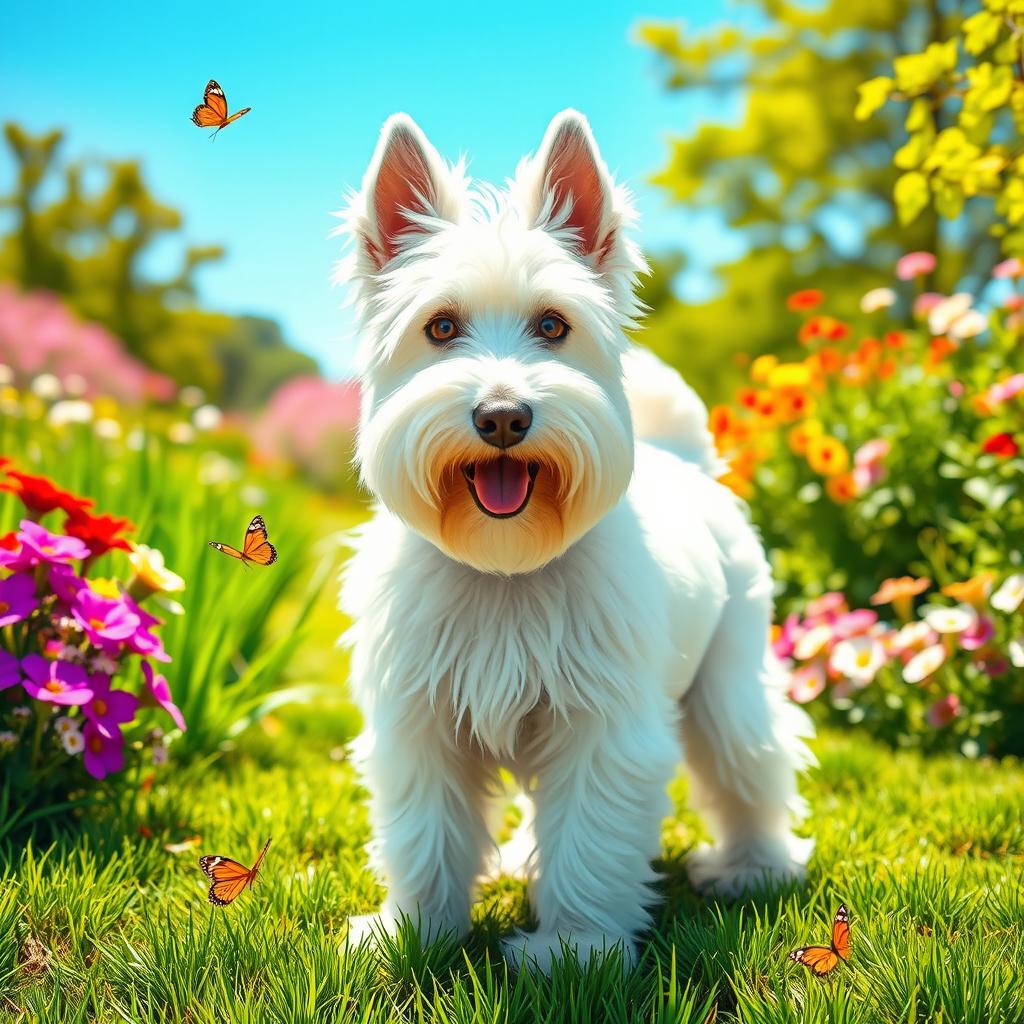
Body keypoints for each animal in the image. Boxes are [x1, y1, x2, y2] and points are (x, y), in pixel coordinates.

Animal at [335, 108, 815, 970]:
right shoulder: (420, 724)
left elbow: (590, 839)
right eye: (440, 326)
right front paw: (411, 932)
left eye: (552, 325)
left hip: (729, 683)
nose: (502, 416)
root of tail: (682, 458)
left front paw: (573, 950)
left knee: (752, 766)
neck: (505, 568)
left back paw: (754, 869)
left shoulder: (601, 729)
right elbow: (426, 837)